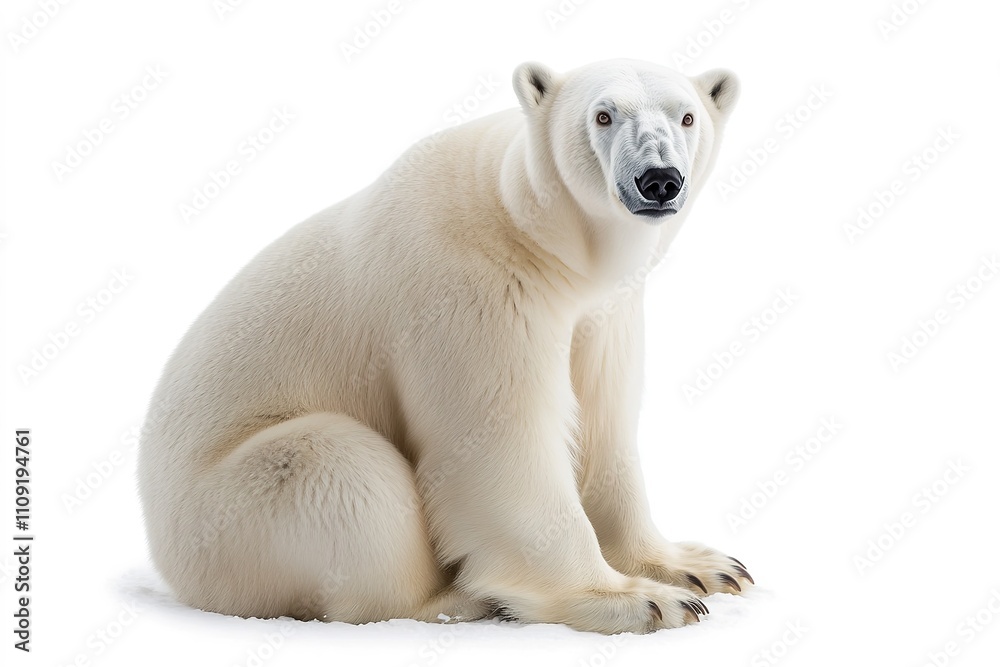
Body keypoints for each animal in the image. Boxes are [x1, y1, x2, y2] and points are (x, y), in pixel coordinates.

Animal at [138, 58, 749, 634]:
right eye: (603, 115)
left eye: (686, 116)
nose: (659, 179)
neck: (536, 235)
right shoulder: (470, 292)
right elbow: (501, 444)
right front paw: (640, 601)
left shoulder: (603, 312)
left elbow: (606, 423)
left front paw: (699, 566)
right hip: (227, 515)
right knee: (344, 468)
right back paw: (455, 600)